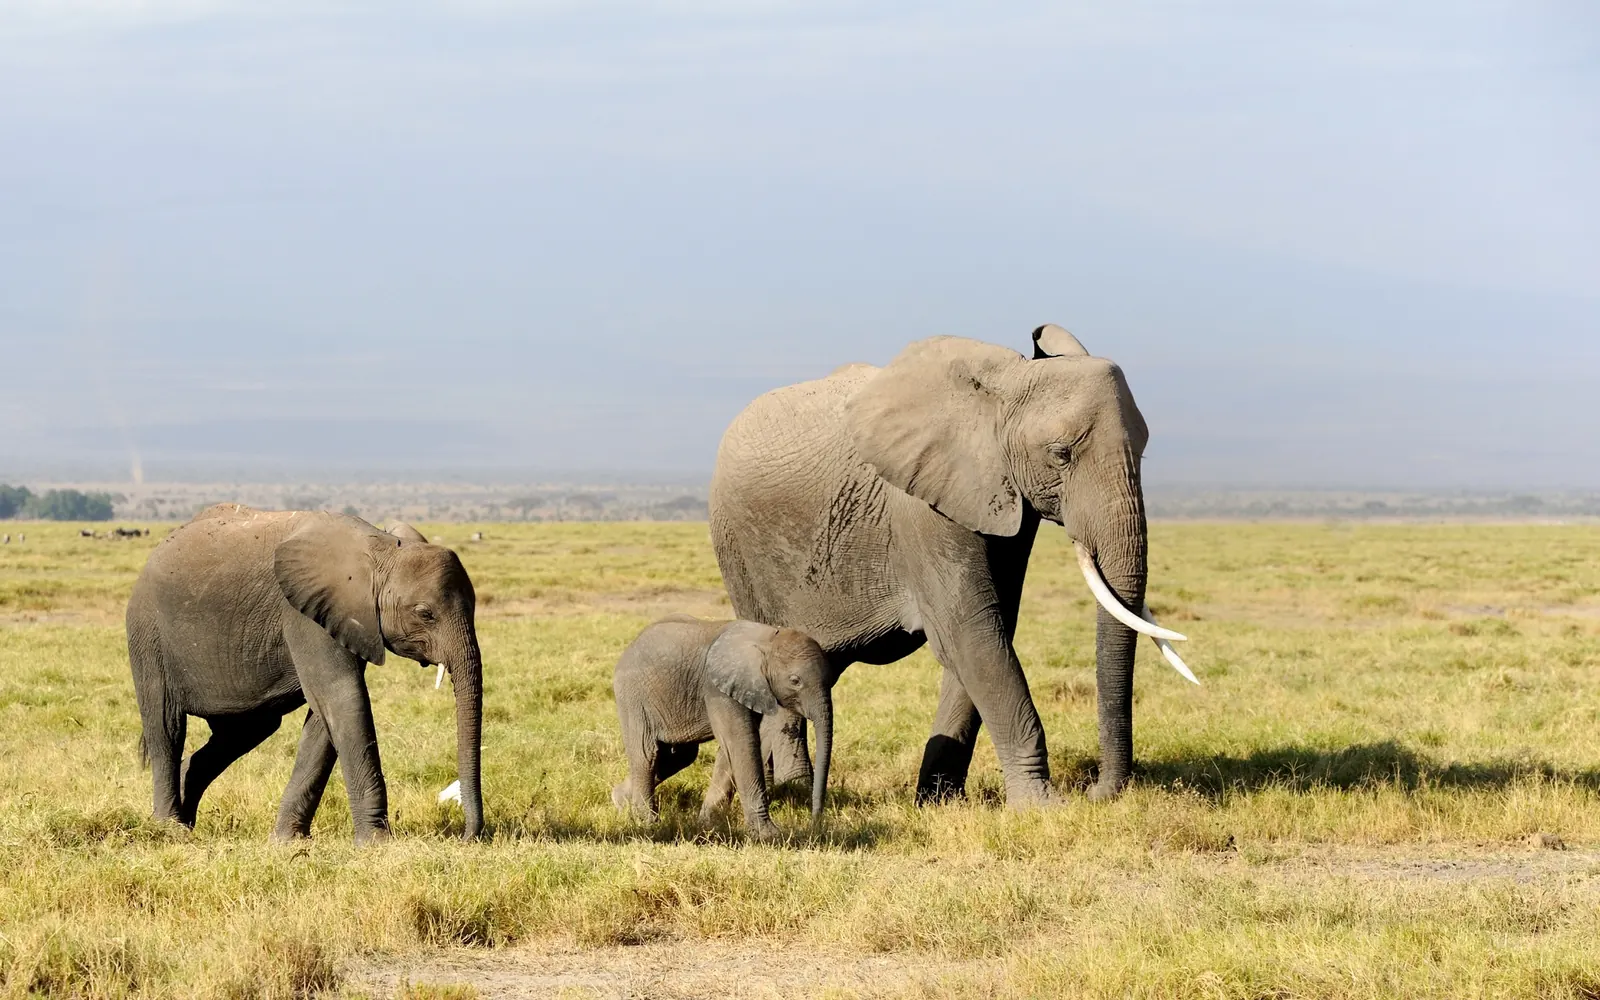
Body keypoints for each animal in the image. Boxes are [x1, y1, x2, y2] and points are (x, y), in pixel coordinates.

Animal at [125, 504, 484, 843]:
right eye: (425, 614)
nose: (468, 837)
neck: (380, 549)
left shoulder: (344, 617)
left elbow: (326, 716)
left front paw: (287, 840)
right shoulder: (305, 614)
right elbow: (343, 698)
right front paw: (377, 843)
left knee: (244, 733)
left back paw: (185, 820)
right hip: (148, 634)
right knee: (166, 726)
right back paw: (170, 828)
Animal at [611, 616, 834, 839]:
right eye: (795, 681)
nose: (816, 822)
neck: (768, 637)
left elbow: (732, 747)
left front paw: (709, 822)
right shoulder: (717, 688)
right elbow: (741, 742)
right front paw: (769, 835)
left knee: (679, 757)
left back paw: (620, 801)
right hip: (633, 696)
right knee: (647, 754)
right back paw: (647, 822)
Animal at [709, 326, 1195, 807]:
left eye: (1143, 453)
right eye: (1061, 454)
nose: (1096, 790)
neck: (1005, 385)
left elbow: (991, 630)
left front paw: (937, 802)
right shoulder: (921, 506)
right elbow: (972, 631)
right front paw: (1040, 807)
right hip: (738, 548)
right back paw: (793, 789)